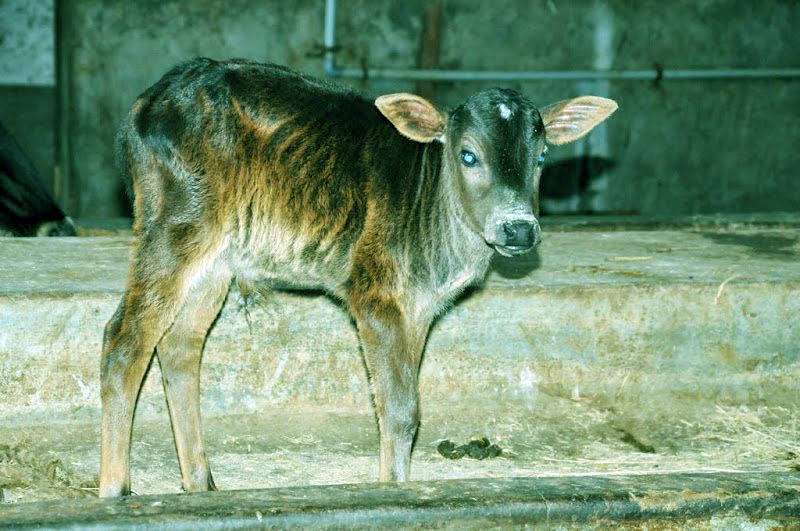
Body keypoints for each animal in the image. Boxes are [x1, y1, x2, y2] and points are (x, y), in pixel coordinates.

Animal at [100, 57, 617, 496]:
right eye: (469, 156)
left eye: (542, 157)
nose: (519, 228)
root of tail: (146, 102)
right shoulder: (375, 292)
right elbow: (400, 409)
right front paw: (393, 490)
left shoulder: (419, 307)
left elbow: (406, 403)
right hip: (177, 223)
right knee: (125, 338)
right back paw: (115, 490)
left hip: (216, 259)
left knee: (179, 344)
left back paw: (200, 484)